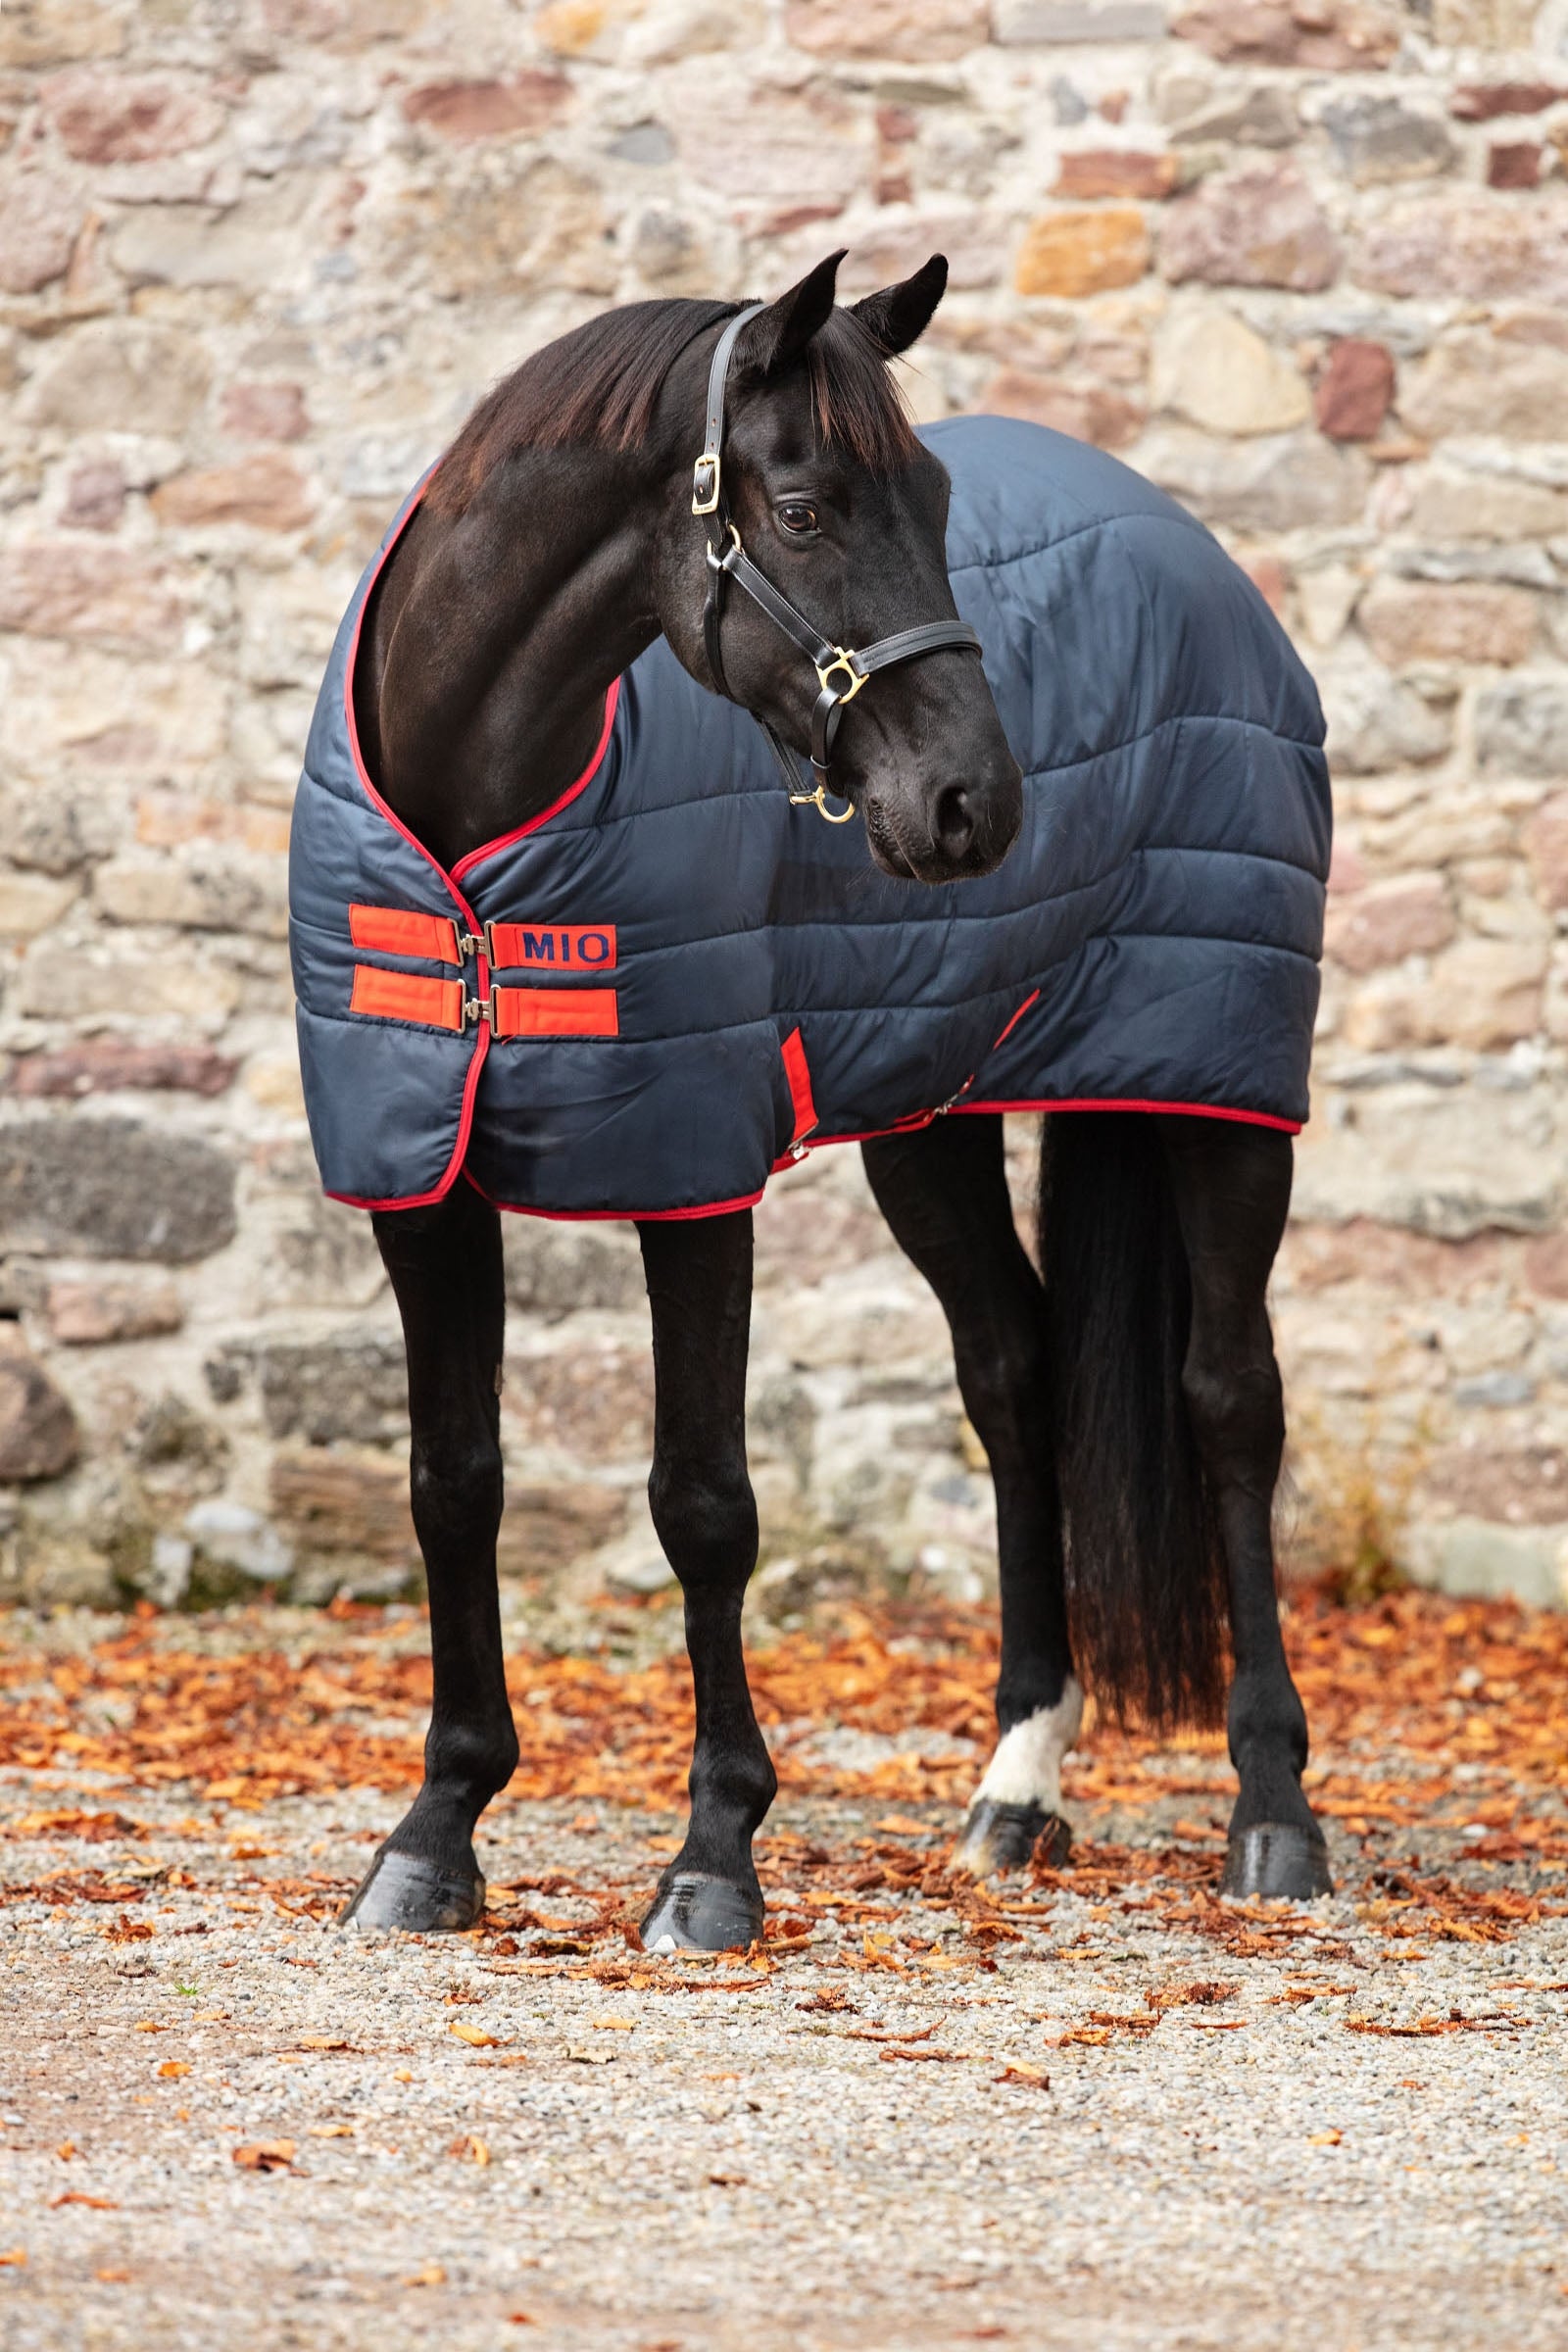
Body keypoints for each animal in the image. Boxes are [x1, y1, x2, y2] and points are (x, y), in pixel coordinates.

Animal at [288, 250, 1333, 1951]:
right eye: (801, 508)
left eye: (937, 496)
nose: (978, 802)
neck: (479, 830)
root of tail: (1192, 549)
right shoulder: (415, 1182)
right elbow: (453, 1482)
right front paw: (436, 1831)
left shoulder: (692, 1166)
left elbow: (704, 1501)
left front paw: (714, 1856)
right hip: (932, 1109)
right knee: (1015, 1375)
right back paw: (1015, 1790)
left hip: (1220, 1086)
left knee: (1231, 1400)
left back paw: (1276, 1812)